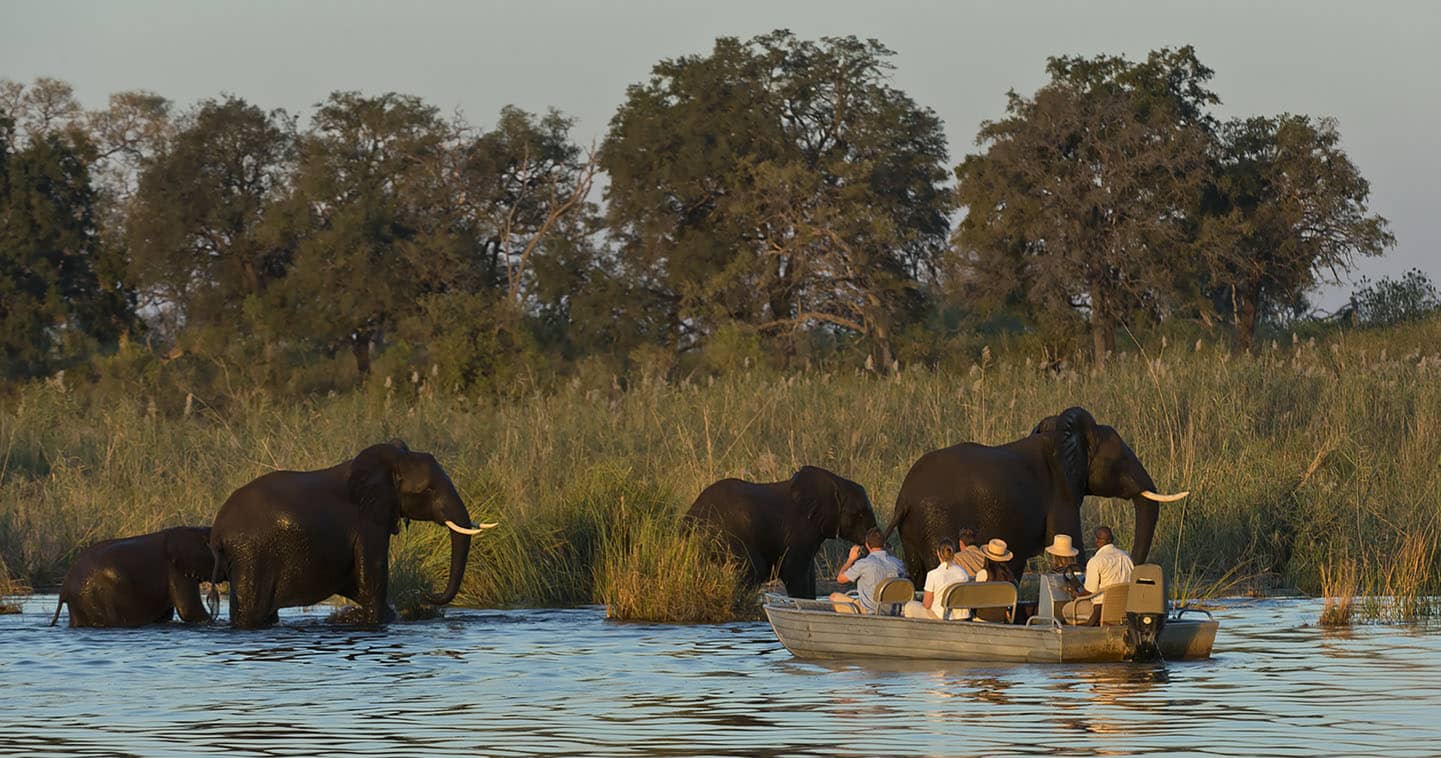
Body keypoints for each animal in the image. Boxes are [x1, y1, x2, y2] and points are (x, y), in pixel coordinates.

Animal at [208, 440, 498, 631]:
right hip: (250, 553)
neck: (390, 464)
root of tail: (217, 531)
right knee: (252, 610)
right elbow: (371, 575)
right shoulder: (367, 522)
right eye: (427, 491)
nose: (424, 593)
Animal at [683, 464, 876, 599]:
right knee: (754, 569)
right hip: (726, 535)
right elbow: (794, 571)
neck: (835, 483)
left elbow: (809, 574)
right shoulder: (801, 528)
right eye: (859, 514)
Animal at [881, 409, 1187, 587]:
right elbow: (1073, 550)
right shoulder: (1062, 491)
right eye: (1121, 461)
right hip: (936, 521)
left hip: (913, 530)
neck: (1067, 435)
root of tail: (904, 498)